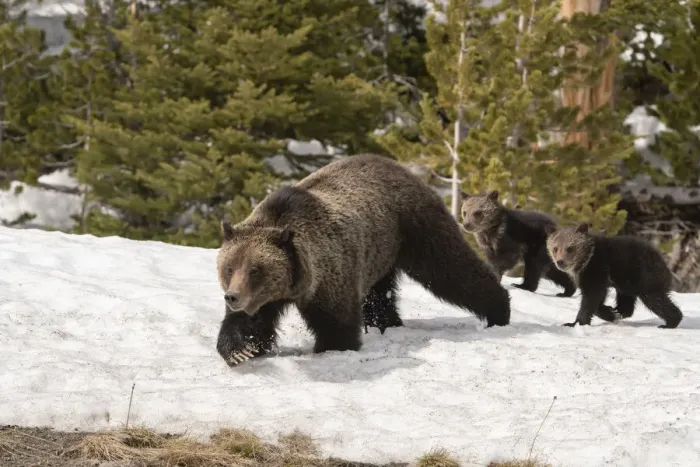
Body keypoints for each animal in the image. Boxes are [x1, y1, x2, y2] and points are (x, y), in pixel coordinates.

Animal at [215, 154, 512, 366]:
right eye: (229, 268)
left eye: (255, 270)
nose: (232, 296)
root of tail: (401, 168)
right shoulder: (267, 297)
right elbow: (249, 324)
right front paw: (241, 349)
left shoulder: (329, 275)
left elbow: (337, 323)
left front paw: (331, 349)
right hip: (379, 252)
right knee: (380, 296)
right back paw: (386, 323)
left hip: (416, 227)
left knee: (451, 268)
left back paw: (499, 310)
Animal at [544, 222, 684, 329]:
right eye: (555, 248)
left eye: (570, 248)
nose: (560, 262)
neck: (586, 261)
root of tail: (661, 260)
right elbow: (597, 298)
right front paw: (611, 312)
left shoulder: (597, 269)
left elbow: (591, 297)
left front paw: (574, 323)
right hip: (627, 279)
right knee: (628, 299)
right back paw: (619, 311)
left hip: (643, 275)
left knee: (655, 299)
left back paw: (670, 322)